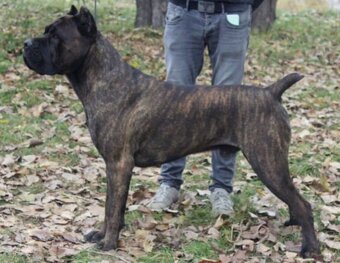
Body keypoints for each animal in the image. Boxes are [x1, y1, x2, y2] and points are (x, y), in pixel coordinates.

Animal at [22, 5, 320, 258]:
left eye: (55, 36)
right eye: (47, 31)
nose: (26, 44)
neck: (104, 78)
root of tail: (271, 92)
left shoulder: (118, 164)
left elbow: (112, 208)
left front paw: (108, 244)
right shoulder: (114, 167)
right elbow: (110, 206)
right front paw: (102, 235)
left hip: (268, 163)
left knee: (304, 204)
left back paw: (310, 249)